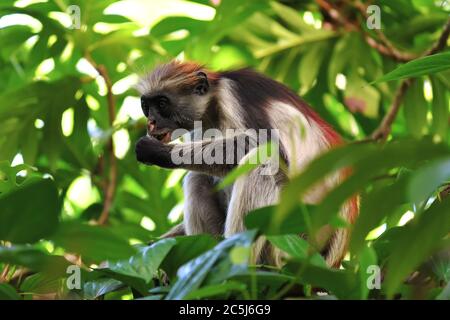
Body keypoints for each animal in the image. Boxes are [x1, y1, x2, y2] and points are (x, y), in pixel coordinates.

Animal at [134, 60, 358, 268]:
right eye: (146, 107)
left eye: (162, 104)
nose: (151, 122)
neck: (213, 105)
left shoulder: (232, 96)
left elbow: (267, 149)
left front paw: (158, 152)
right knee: (198, 177)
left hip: (293, 239)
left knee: (260, 165)